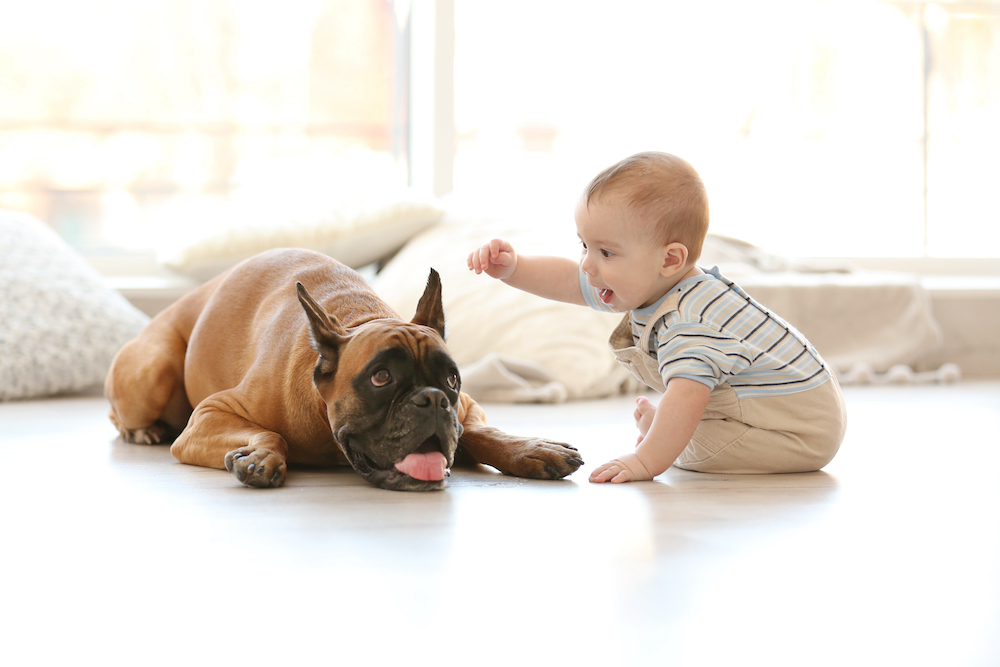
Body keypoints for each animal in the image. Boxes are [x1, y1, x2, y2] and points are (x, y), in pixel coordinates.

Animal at [105, 249, 584, 490]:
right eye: (380, 378)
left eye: (450, 379)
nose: (431, 400)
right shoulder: (208, 416)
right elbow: (269, 433)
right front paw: (260, 454)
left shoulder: (466, 405)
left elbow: (482, 431)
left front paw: (530, 448)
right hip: (152, 372)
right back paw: (142, 431)